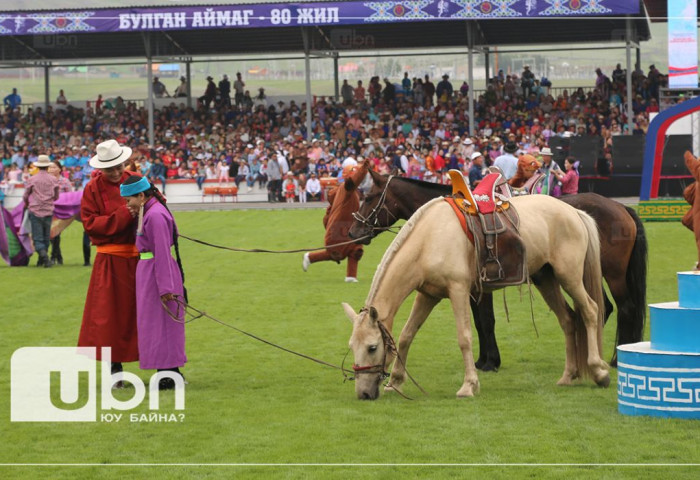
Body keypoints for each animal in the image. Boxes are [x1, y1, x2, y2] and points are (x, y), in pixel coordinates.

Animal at [348, 172, 648, 368]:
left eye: (370, 196)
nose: (353, 231)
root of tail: (621, 207)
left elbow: (485, 321)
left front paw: (489, 361)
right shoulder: (475, 287)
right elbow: (481, 321)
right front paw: (486, 358)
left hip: (612, 275)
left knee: (624, 308)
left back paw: (615, 358)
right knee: (606, 307)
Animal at [348, 193, 608, 400]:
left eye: (372, 347)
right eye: (352, 346)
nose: (363, 393)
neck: (429, 240)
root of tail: (573, 211)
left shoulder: (459, 291)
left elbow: (464, 338)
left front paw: (469, 386)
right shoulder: (427, 295)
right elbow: (406, 335)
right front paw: (396, 381)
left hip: (569, 277)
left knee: (590, 311)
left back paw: (599, 371)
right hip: (546, 280)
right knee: (567, 320)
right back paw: (568, 375)